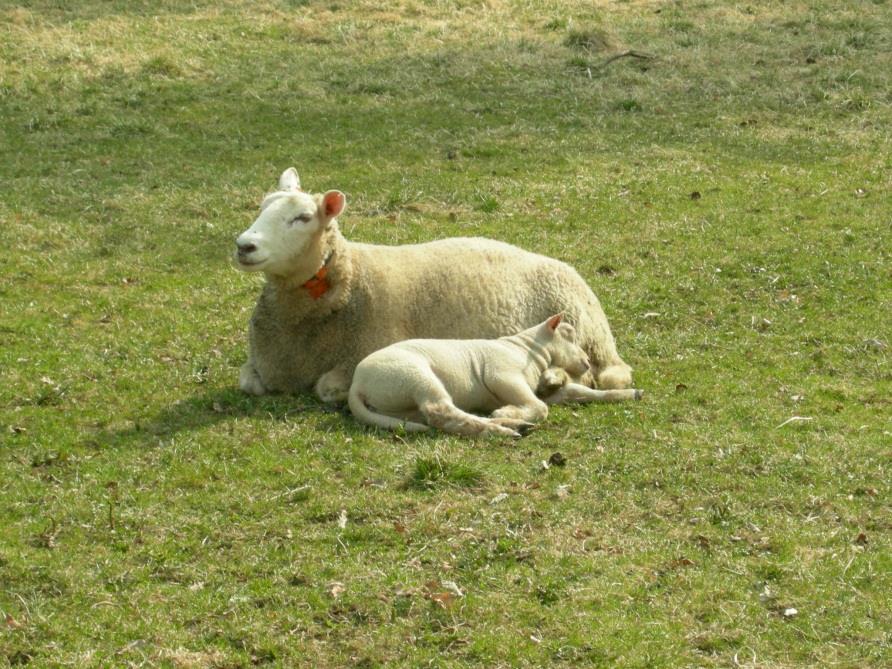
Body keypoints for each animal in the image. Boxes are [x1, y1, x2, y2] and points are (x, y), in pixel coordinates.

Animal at [233, 167, 632, 402]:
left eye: (302, 218)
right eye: (262, 207)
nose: (244, 245)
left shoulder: (363, 353)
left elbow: (326, 388)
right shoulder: (260, 365)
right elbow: (247, 382)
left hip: (586, 334)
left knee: (600, 374)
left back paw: (554, 378)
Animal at [346, 314, 640, 438]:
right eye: (568, 334)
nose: (587, 362)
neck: (526, 350)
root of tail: (357, 385)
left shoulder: (542, 388)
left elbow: (580, 393)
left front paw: (629, 393)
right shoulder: (502, 375)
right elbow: (540, 407)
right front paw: (507, 411)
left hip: (402, 408)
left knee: (445, 418)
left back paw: (512, 425)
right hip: (416, 377)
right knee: (441, 412)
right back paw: (503, 429)